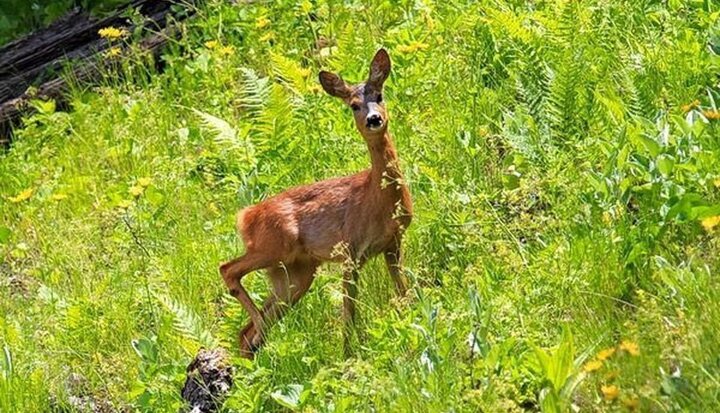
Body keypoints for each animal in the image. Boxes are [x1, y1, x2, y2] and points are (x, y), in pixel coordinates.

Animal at [218, 48, 410, 358]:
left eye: (379, 95)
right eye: (353, 105)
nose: (373, 119)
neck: (381, 198)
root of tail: (245, 215)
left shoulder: (393, 243)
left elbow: (403, 291)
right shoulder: (351, 250)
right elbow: (348, 312)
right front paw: (348, 354)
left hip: (295, 274)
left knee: (245, 332)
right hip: (273, 246)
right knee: (228, 270)